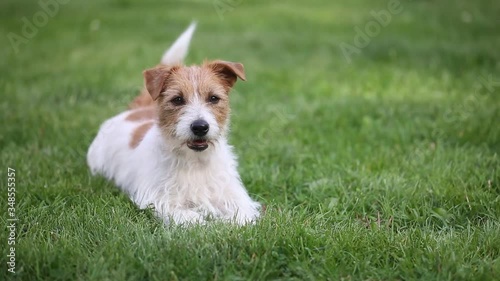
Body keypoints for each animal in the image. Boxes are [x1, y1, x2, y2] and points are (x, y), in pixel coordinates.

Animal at [88, 23, 262, 225]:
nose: (200, 127)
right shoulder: (159, 199)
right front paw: (207, 225)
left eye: (213, 98)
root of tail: (137, 110)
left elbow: (241, 216)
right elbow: (191, 218)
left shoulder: (234, 196)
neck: (195, 162)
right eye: (178, 99)